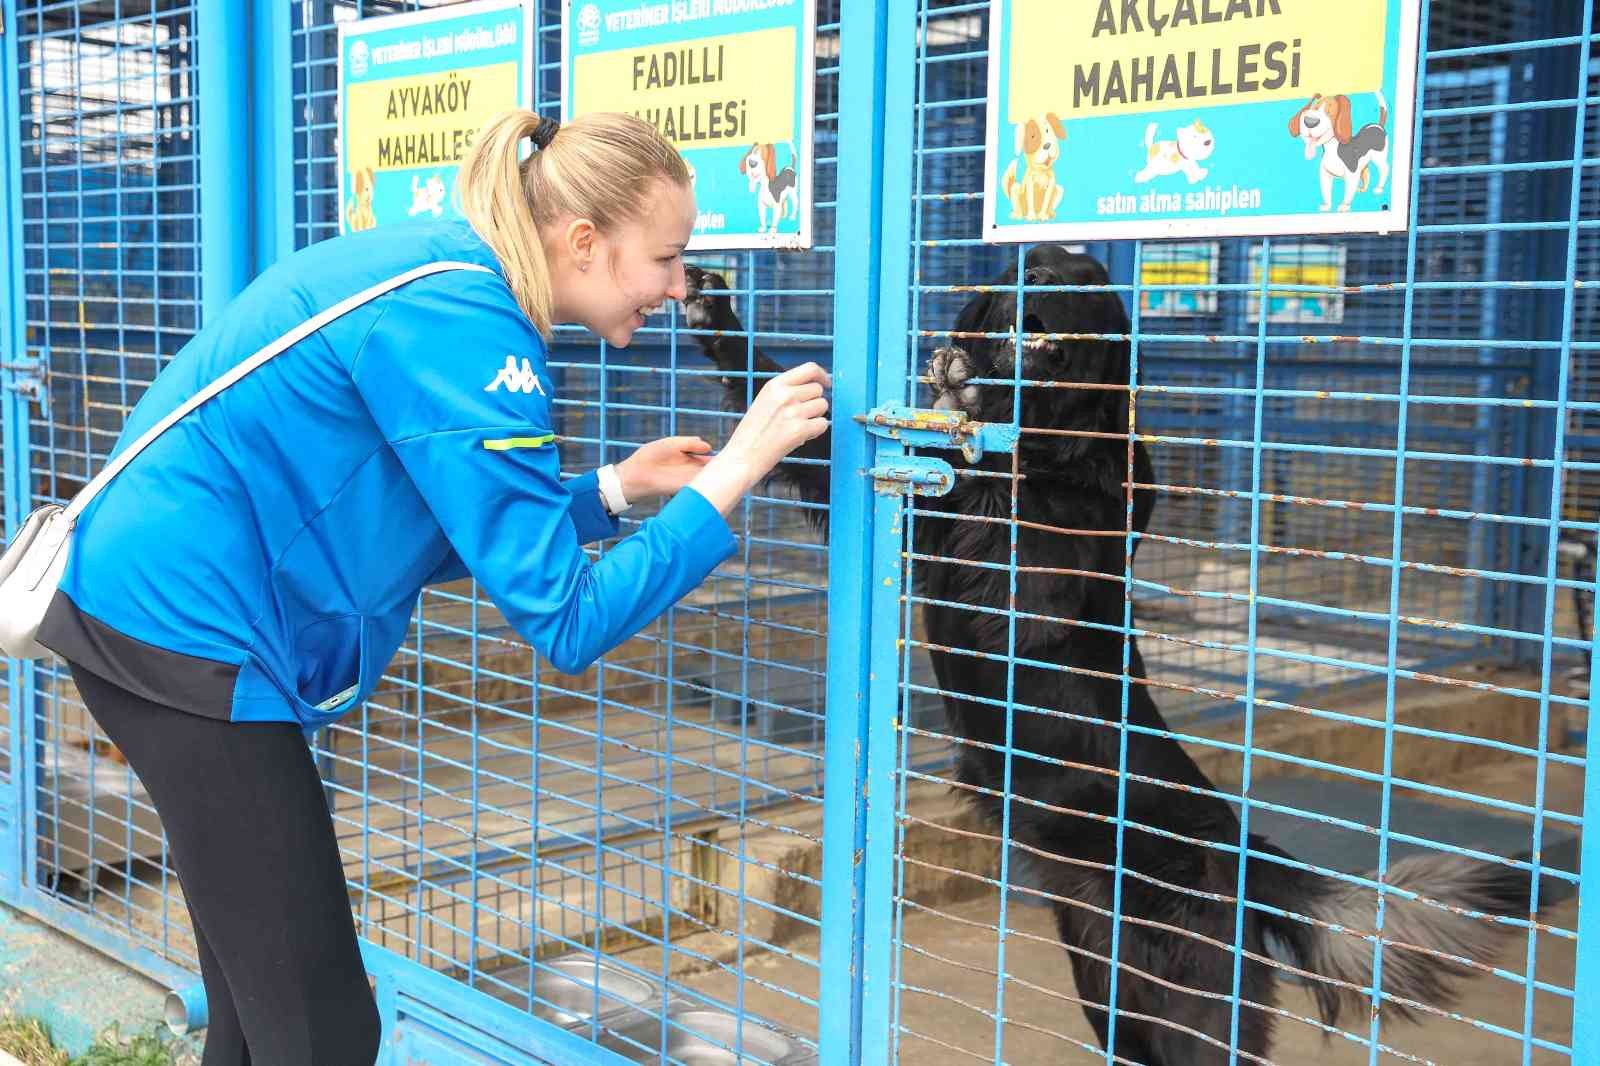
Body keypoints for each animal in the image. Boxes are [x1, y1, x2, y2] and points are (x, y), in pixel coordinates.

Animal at [678, 246, 1523, 1056]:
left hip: (1189, 1002)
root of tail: (1245, 853)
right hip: (1109, 985)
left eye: (1057, 332)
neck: (1062, 439)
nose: (1005, 352)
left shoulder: (1034, 579)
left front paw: (970, 406)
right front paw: (717, 315)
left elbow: (1004, 492)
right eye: (1018, 292)